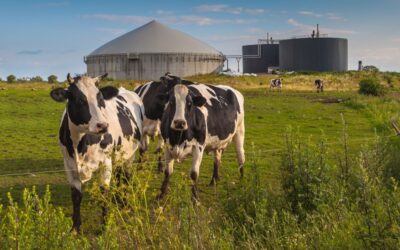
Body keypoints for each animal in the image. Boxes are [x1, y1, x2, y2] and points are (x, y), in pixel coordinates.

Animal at [49, 73, 144, 233]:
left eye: (100, 99)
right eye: (79, 99)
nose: (102, 126)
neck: (80, 146)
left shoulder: (105, 162)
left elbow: (104, 193)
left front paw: (105, 226)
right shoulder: (69, 165)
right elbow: (76, 196)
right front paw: (75, 227)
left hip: (130, 154)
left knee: (126, 177)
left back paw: (125, 204)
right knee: (119, 175)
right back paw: (119, 201)